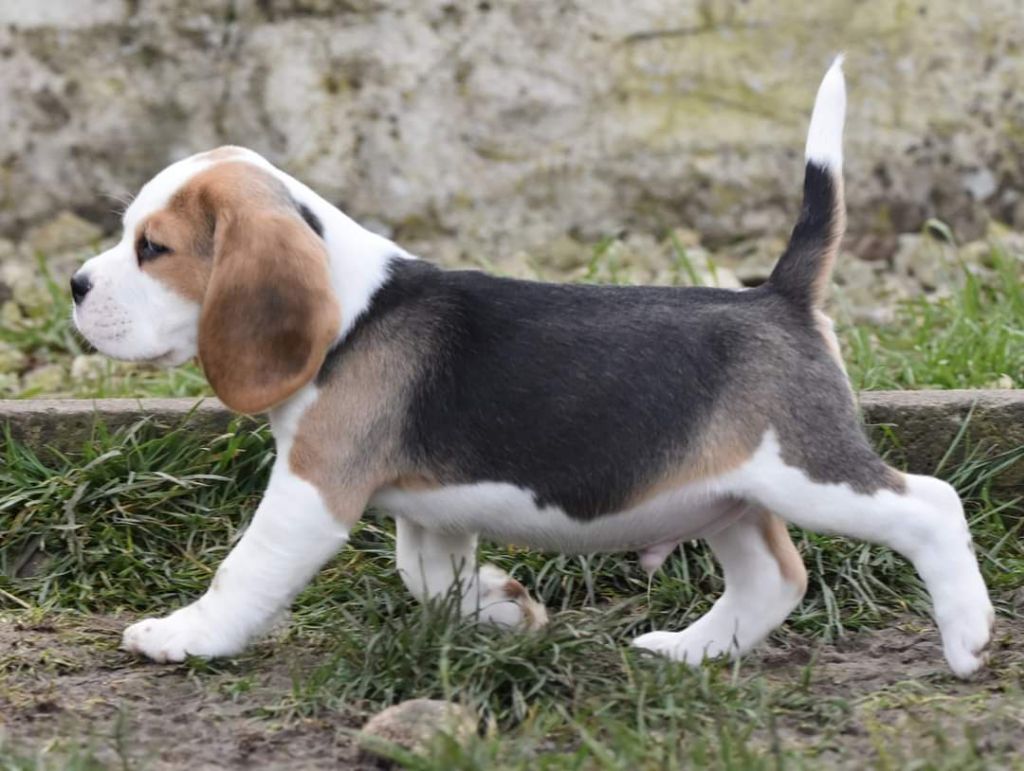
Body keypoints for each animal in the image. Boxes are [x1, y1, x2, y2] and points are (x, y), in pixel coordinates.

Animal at [70, 58, 991, 671]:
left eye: (153, 249)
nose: (75, 285)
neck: (352, 312)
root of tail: (779, 295)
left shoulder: (311, 490)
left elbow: (246, 569)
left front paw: (186, 636)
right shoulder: (434, 509)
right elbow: (425, 572)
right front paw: (506, 610)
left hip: (809, 471)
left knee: (930, 505)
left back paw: (968, 636)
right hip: (729, 493)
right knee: (776, 576)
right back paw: (687, 650)